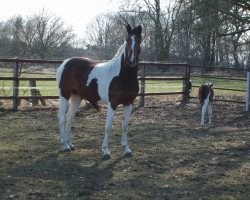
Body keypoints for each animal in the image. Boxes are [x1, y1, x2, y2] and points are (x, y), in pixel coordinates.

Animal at [57, 24, 143, 159]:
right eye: (128, 40)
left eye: (139, 40)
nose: (131, 60)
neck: (123, 76)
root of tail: (65, 63)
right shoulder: (113, 103)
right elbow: (108, 126)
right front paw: (106, 151)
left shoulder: (129, 102)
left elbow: (125, 126)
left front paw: (126, 149)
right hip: (64, 95)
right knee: (61, 118)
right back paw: (65, 145)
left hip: (76, 97)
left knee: (69, 118)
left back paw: (70, 144)